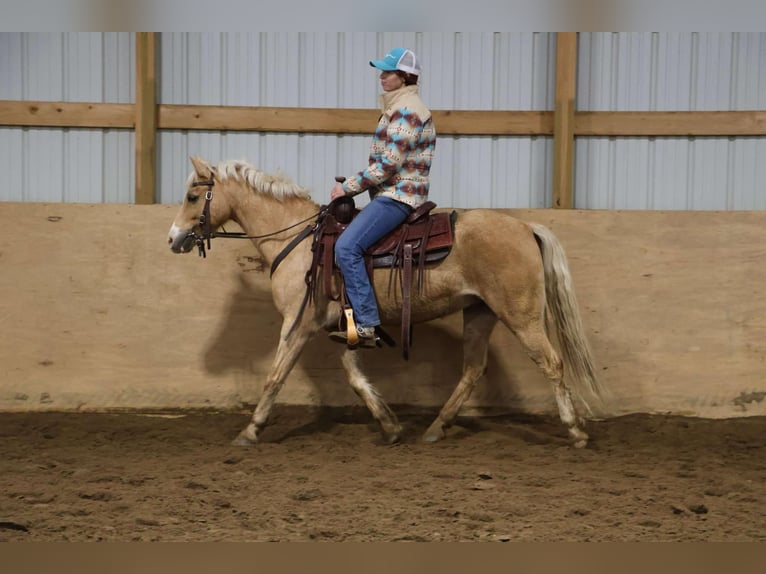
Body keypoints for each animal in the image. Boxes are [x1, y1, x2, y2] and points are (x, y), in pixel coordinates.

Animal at [168, 156, 608, 450]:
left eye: (191, 196)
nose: (173, 239)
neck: (298, 241)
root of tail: (525, 227)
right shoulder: (344, 325)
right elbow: (354, 377)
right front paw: (390, 426)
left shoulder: (297, 324)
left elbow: (274, 376)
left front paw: (250, 430)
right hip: (479, 313)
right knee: (473, 369)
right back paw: (436, 427)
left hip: (521, 315)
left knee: (551, 363)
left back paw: (575, 431)